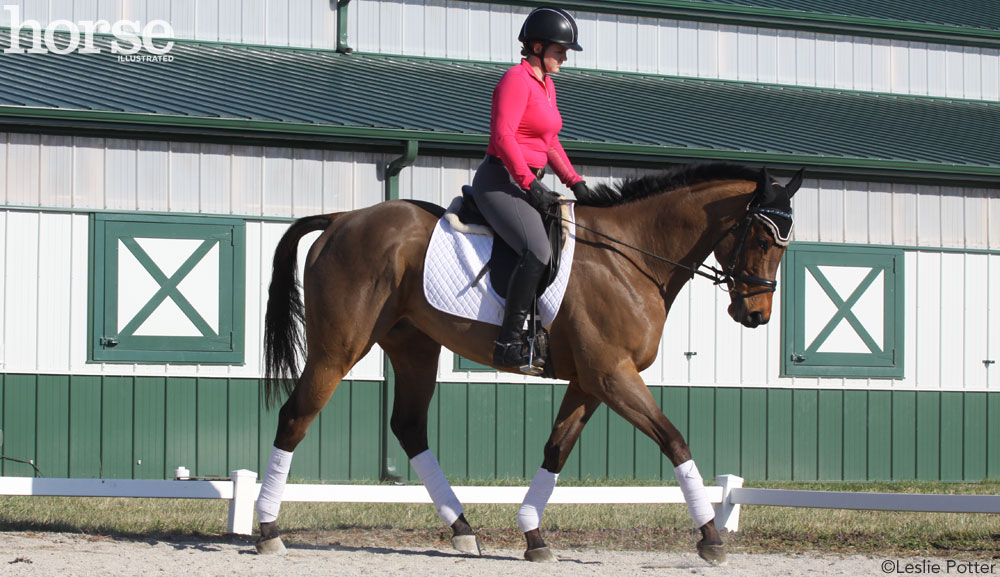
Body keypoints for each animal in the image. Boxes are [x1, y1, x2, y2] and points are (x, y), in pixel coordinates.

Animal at [256, 161, 804, 564]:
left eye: (785, 244)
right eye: (761, 239)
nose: (755, 315)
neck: (631, 258)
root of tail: (342, 218)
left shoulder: (590, 381)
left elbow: (556, 449)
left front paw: (533, 536)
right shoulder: (613, 375)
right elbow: (674, 439)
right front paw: (711, 537)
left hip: (414, 348)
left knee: (409, 427)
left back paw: (463, 530)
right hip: (338, 348)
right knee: (296, 417)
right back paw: (267, 528)